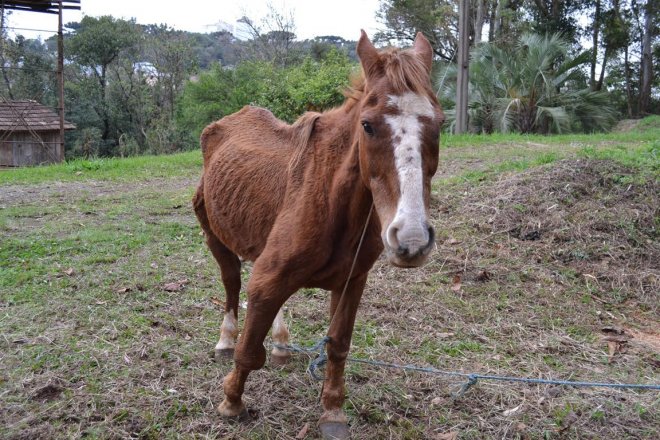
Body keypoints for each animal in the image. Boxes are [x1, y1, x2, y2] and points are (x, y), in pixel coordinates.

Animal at [193, 31, 446, 440]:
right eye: (367, 125)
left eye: (439, 123)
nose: (411, 239)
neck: (331, 201)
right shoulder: (269, 278)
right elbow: (249, 349)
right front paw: (232, 401)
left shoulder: (351, 282)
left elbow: (338, 346)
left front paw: (332, 411)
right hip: (216, 239)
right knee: (231, 285)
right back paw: (226, 339)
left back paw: (281, 344)